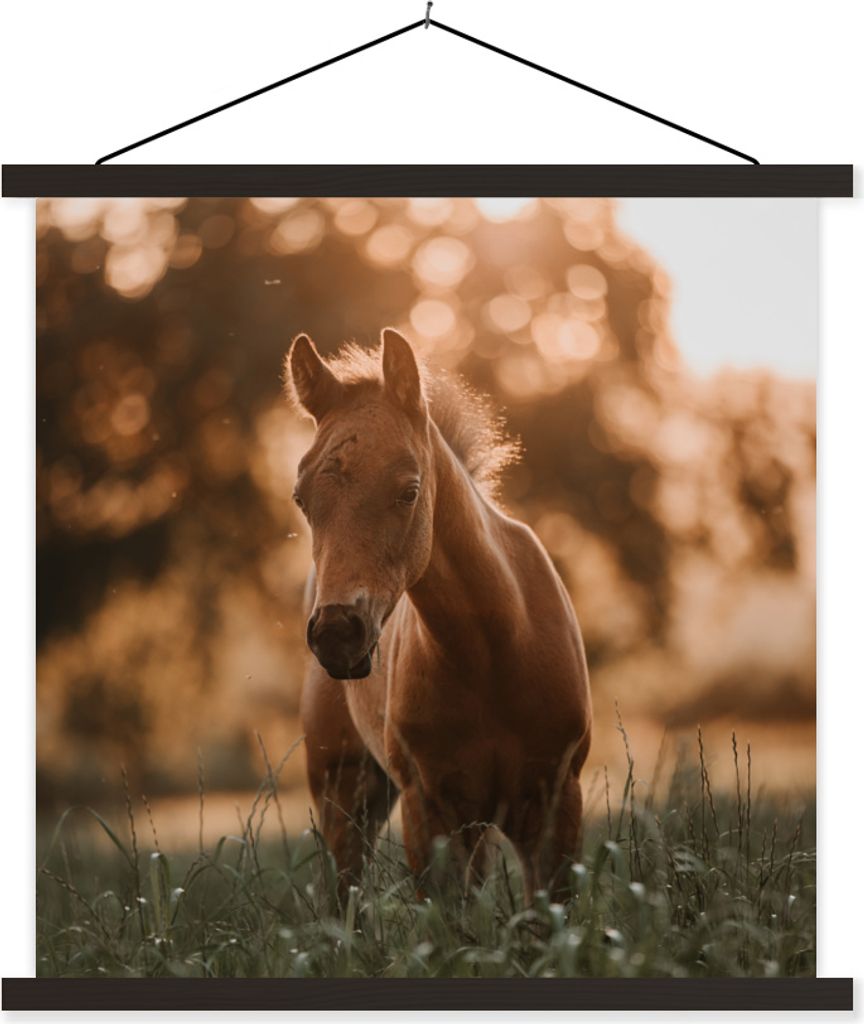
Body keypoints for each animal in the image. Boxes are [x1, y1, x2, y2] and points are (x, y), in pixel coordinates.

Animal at [285, 327, 592, 899]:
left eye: (409, 491)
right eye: (301, 498)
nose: (336, 633)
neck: (492, 652)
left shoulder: (556, 801)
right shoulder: (428, 812)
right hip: (343, 788)